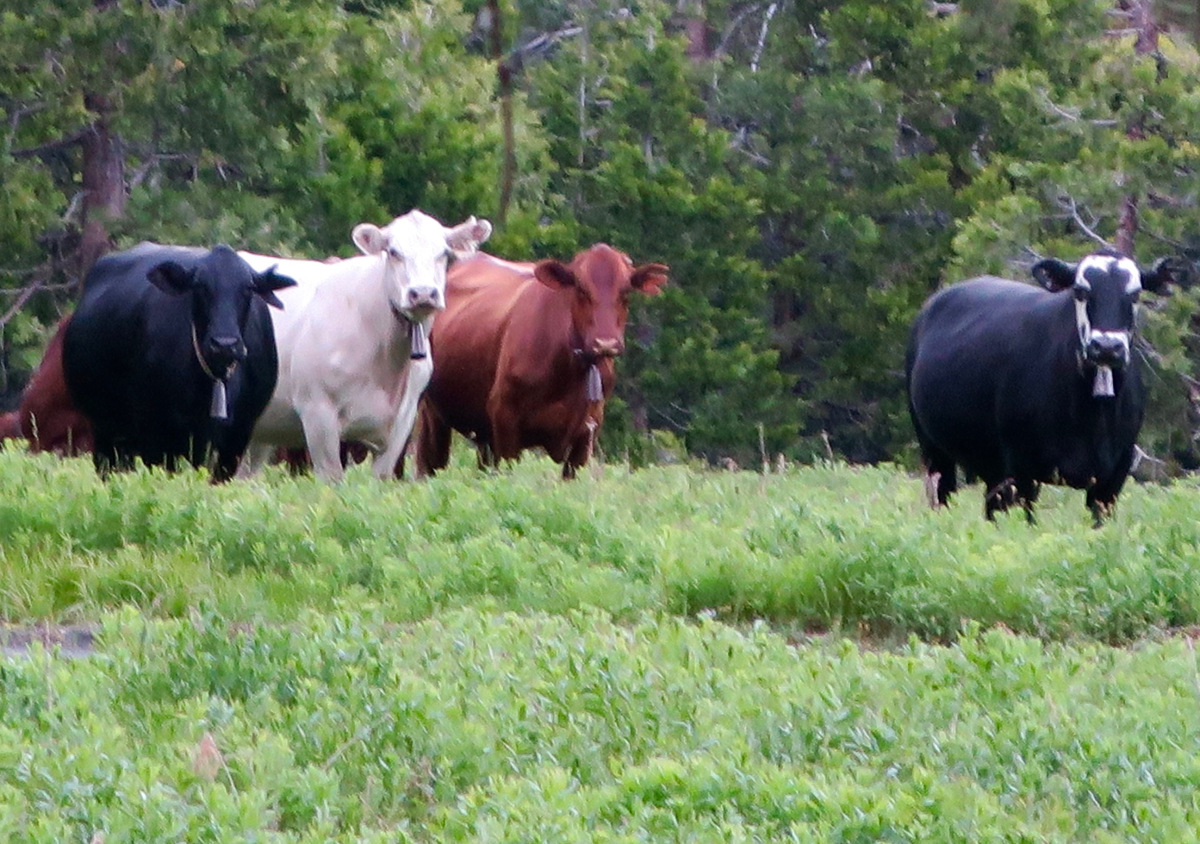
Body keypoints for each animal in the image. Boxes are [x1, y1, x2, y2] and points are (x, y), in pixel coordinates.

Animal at [62, 243, 295, 480]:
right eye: (200, 286)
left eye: (248, 288)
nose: (224, 344)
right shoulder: (157, 435)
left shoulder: (236, 438)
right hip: (106, 431)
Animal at [236, 210, 493, 483]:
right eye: (393, 252)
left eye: (444, 253)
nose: (423, 293)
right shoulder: (317, 412)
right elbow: (331, 479)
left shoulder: (402, 423)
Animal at [415, 244, 669, 480]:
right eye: (580, 289)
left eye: (625, 291)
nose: (605, 343)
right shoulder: (505, 420)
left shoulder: (587, 432)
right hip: (432, 415)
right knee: (429, 466)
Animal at [905, 249, 1179, 524]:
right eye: (1080, 291)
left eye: (1135, 294)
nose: (1107, 346)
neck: (1089, 414)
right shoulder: (1022, 469)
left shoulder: (1114, 475)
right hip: (934, 449)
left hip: (991, 465)